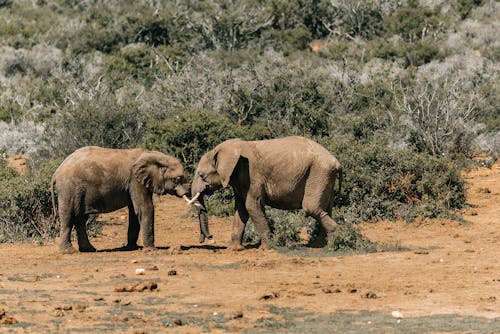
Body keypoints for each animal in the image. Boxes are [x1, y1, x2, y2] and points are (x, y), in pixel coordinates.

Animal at [50, 146, 191, 253]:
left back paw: (89, 250)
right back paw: (68, 251)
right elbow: (145, 207)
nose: (186, 192)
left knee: (80, 218)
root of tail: (56, 173)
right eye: (177, 179)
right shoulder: (135, 181)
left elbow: (134, 211)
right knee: (69, 217)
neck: (154, 155)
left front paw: (133, 248)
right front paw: (151, 250)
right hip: (69, 189)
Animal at [189, 136, 342, 250]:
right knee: (326, 208)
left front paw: (267, 248)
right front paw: (233, 249)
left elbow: (252, 206)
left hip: (318, 172)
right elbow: (241, 209)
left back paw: (334, 241)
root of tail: (337, 162)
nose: (209, 238)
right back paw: (321, 245)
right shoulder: (239, 180)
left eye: (202, 175)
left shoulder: (252, 176)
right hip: (324, 176)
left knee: (312, 207)